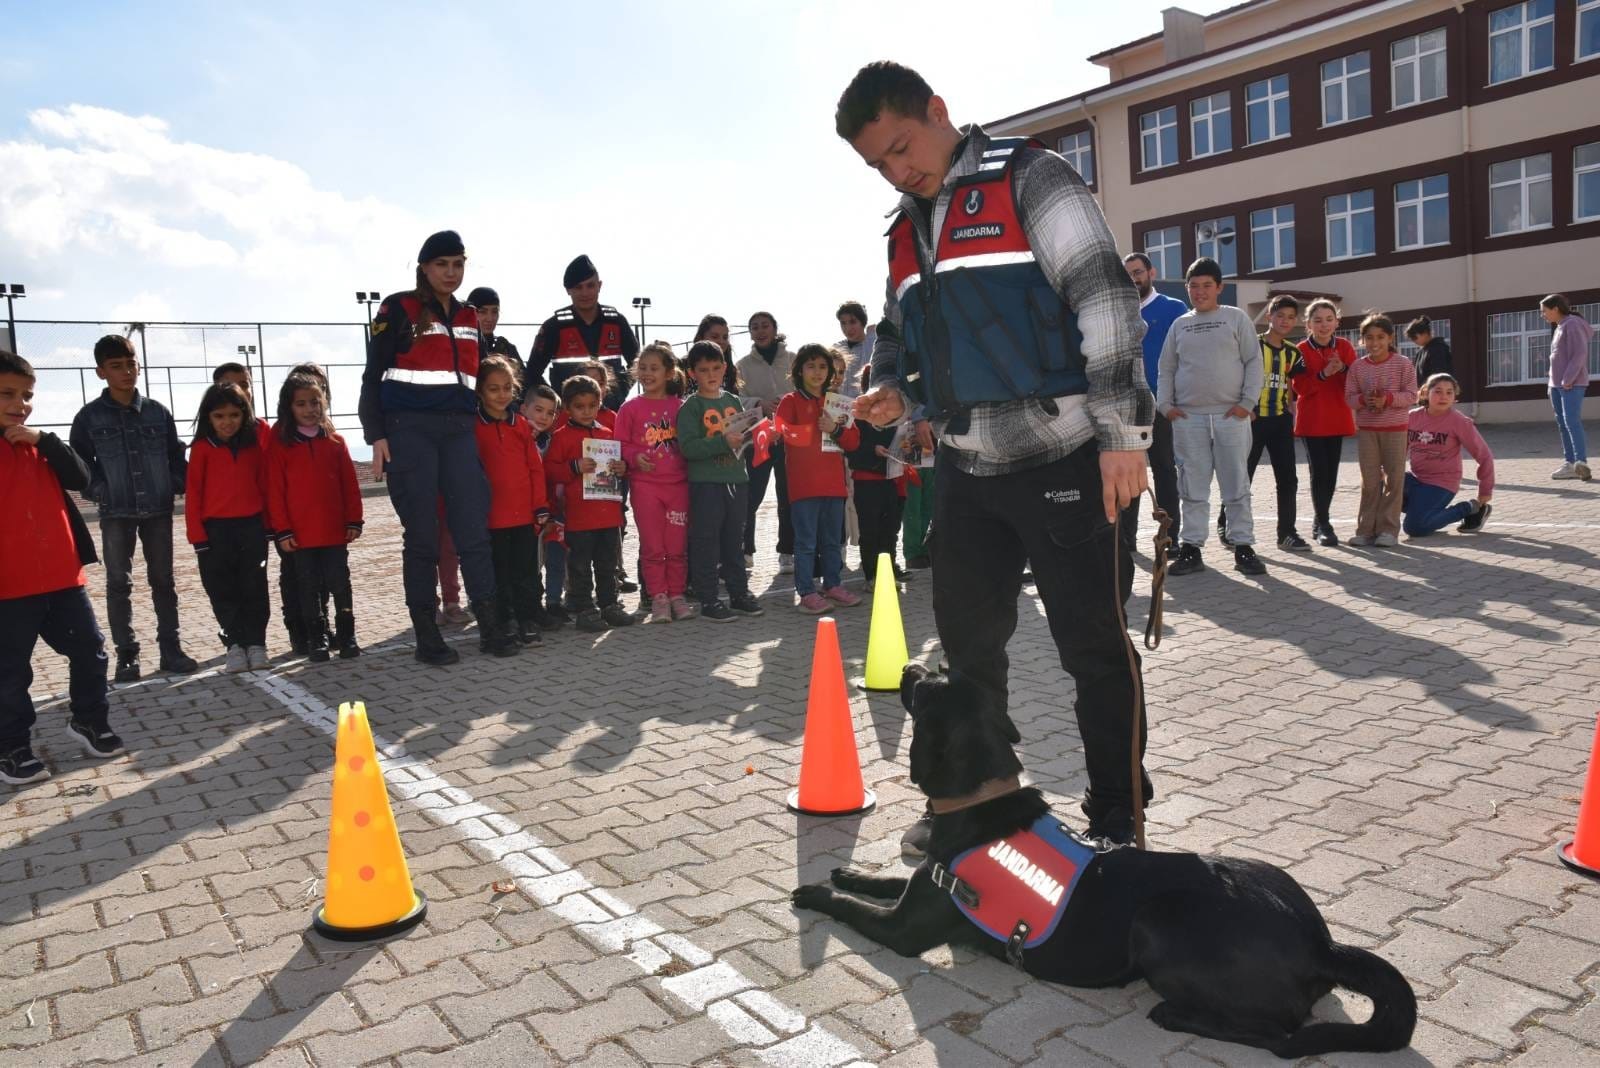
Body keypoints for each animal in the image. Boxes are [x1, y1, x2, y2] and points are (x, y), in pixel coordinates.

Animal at [787, 668, 1414, 1061]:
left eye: (928, 687)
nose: (909, 665)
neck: (979, 800)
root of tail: (1320, 944)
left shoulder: (904, 930)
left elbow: (851, 908)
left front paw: (816, 892)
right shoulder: (925, 882)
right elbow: (887, 878)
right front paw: (850, 872)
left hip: (1160, 922)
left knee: (1281, 1035)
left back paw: (1178, 1017)